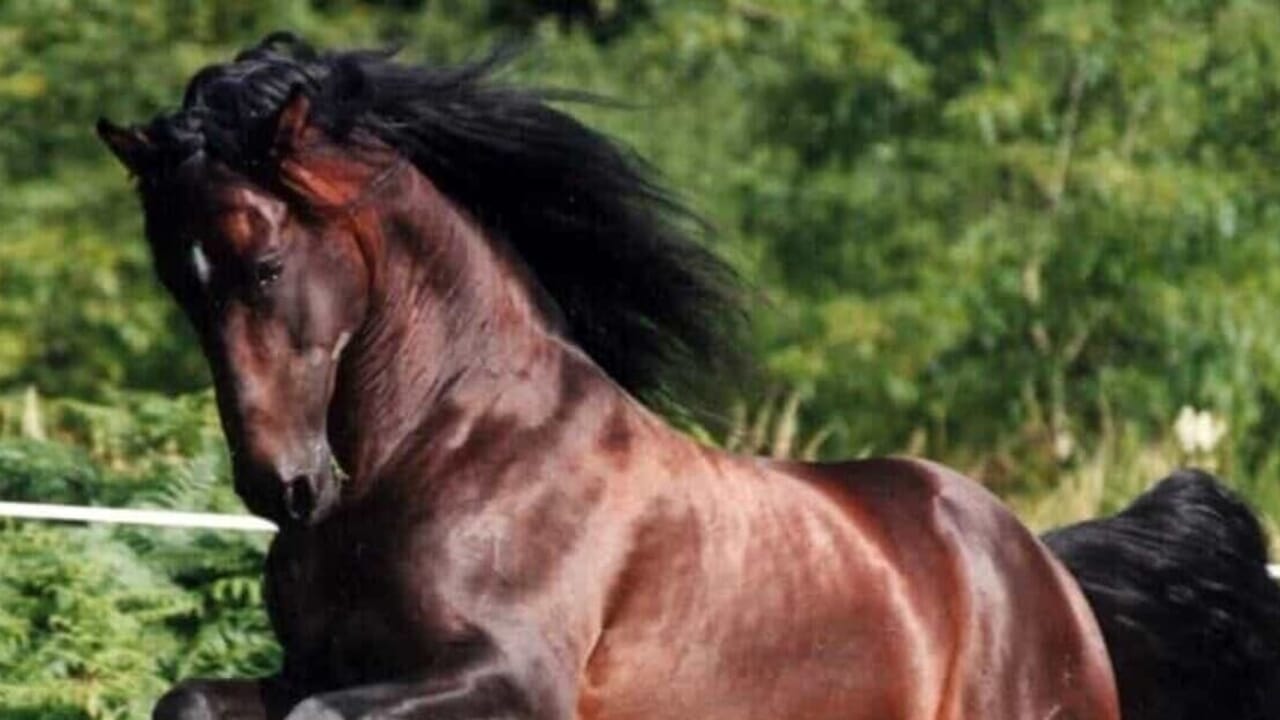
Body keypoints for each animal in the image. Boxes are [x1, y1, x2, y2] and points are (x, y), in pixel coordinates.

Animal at [96, 34, 1280, 720]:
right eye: (177, 282)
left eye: (262, 265)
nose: (282, 487)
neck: (442, 448)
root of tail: (1043, 564)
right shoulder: (316, 668)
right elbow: (193, 703)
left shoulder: (507, 681)